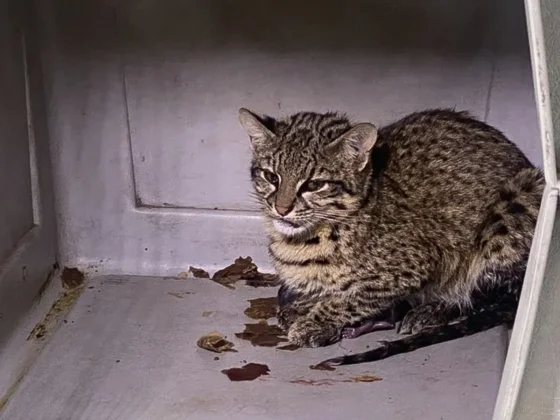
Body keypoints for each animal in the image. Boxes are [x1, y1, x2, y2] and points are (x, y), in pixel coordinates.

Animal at [240, 106, 544, 362]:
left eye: (314, 184)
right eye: (271, 177)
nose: (281, 209)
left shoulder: (411, 267)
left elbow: (353, 298)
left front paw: (315, 322)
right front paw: (302, 304)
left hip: (517, 204)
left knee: (483, 292)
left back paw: (433, 309)